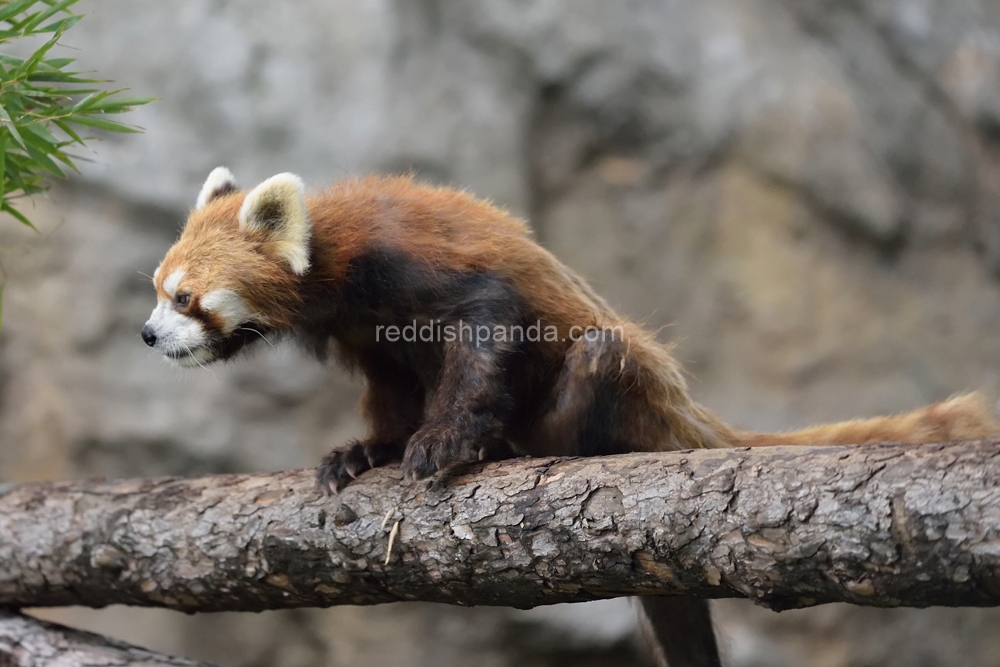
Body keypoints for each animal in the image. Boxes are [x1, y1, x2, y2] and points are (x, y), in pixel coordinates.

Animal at [145, 168, 1000, 667]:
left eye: (184, 296)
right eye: (157, 289)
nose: (149, 335)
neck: (341, 266)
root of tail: (686, 413)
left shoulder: (424, 266)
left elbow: (486, 330)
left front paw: (443, 442)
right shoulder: (369, 339)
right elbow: (390, 393)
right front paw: (367, 451)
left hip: (624, 371)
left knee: (597, 357)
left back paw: (547, 447)